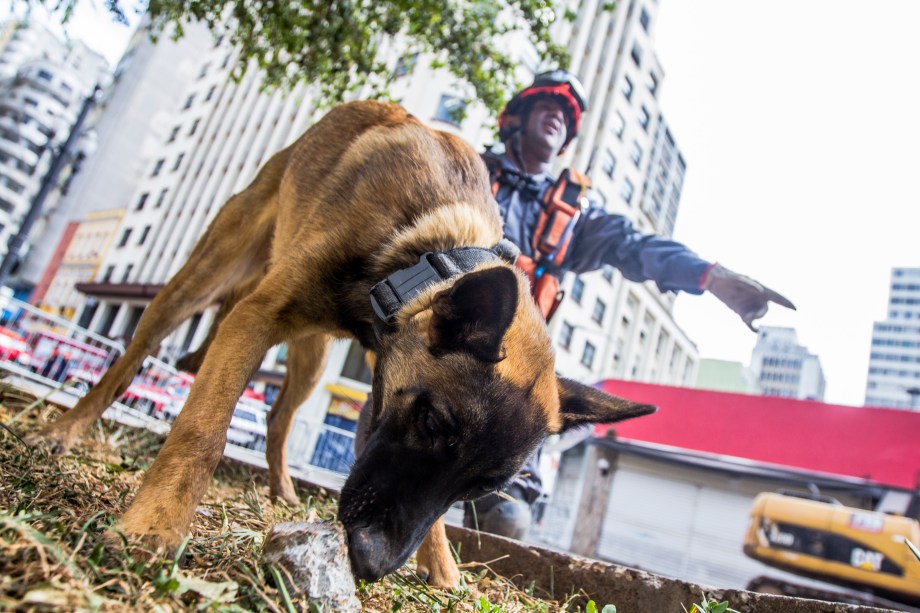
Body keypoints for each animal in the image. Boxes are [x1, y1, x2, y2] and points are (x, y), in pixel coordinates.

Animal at [28, 101, 656, 588]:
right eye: (433, 424)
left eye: (482, 487)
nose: (373, 564)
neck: (430, 251)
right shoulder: (257, 318)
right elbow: (202, 431)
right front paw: (156, 522)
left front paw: (441, 564)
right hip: (196, 284)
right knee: (125, 364)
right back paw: (64, 430)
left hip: (310, 360)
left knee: (278, 418)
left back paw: (282, 488)